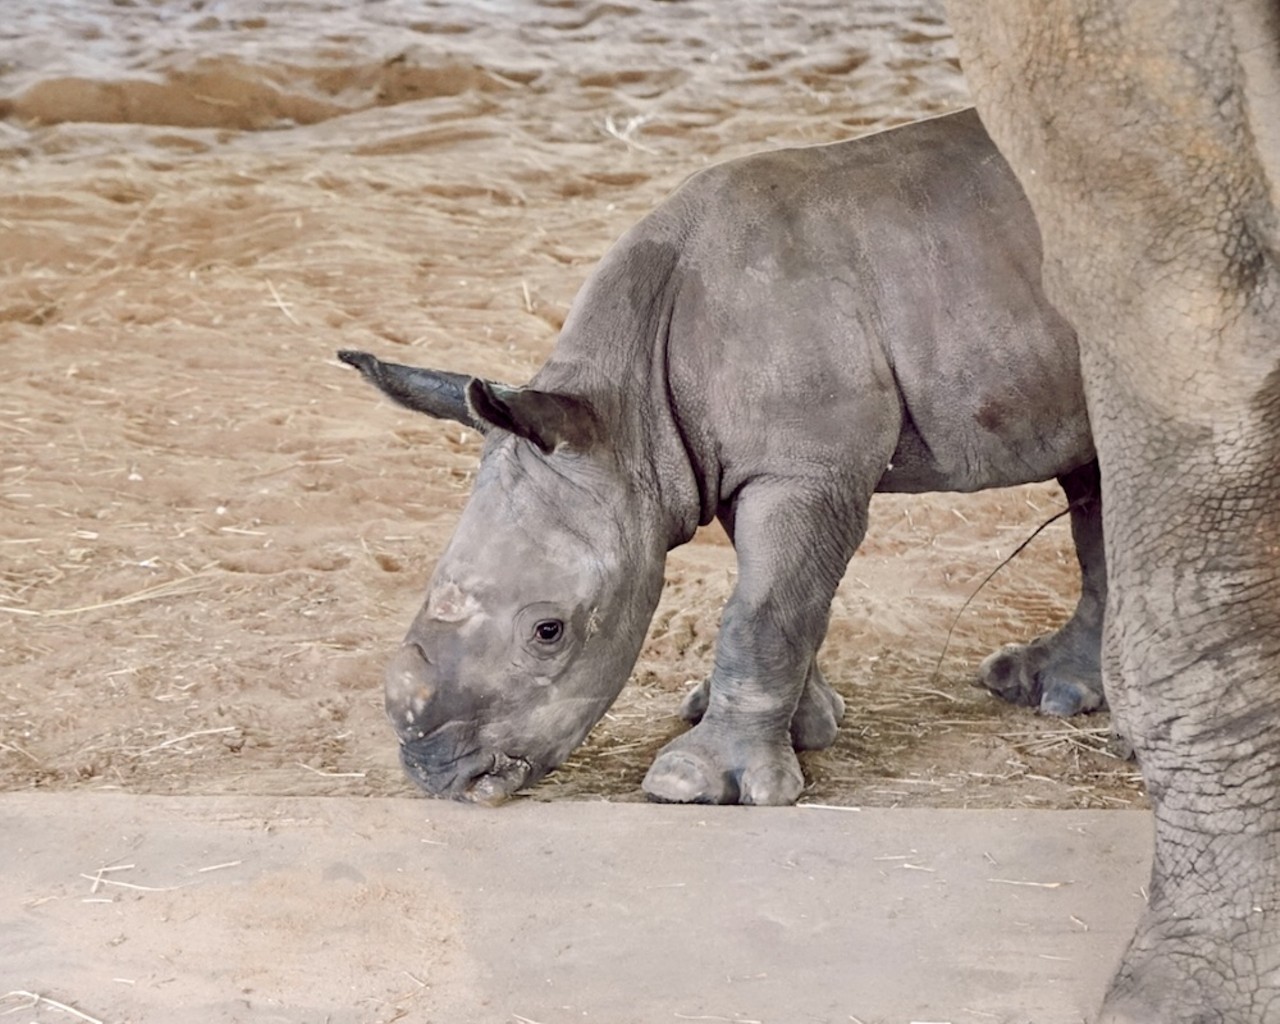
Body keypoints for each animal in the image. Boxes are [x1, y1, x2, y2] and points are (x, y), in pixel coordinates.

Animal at [340, 106, 1100, 808]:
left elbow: (759, 612)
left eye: (548, 632)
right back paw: (1048, 689)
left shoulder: (803, 469)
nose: (437, 777)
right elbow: (781, 593)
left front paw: (695, 783)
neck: (627, 413)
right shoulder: (756, 463)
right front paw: (802, 728)